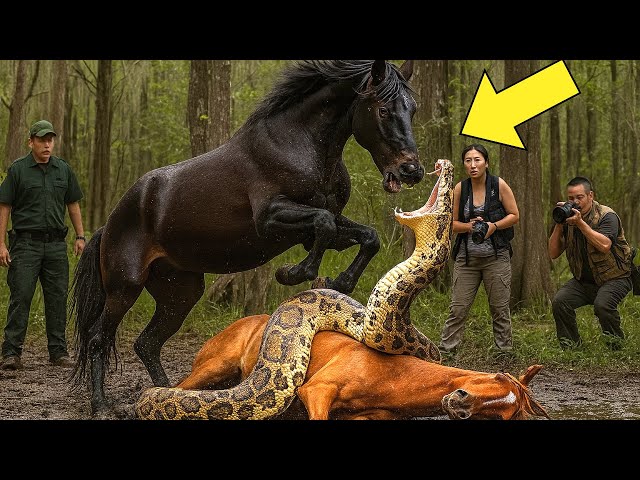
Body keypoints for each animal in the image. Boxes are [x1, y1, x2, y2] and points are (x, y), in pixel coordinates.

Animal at [70, 60, 423, 415]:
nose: (411, 171)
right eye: (383, 109)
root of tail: (109, 224)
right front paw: (294, 273)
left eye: (412, 108)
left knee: (148, 343)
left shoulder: (327, 228)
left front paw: (340, 281)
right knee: (99, 338)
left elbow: (368, 236)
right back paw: (101, 405)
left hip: (180, 293)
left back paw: (168, 392)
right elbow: (322, 225)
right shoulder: (270, 219)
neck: (301, 147)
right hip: (124, 288)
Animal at [172, 314, 550, 420]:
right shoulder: (317, 392)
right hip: (211, 369)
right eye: (496, 376)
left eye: (501, 415)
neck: (393, 377)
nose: (460, 402)